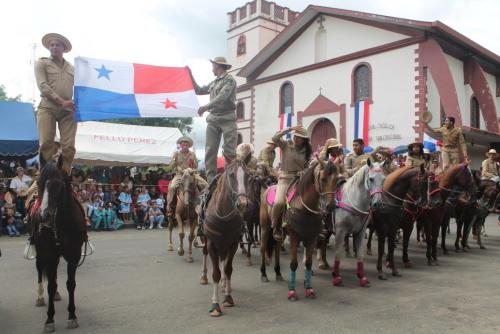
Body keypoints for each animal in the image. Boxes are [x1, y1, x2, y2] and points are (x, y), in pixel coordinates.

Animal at [29, 159, 88, 332]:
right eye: (39, 182)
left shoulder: (74, 254)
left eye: (58, 184)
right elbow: (50, 285)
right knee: (40, 271)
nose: (44, 216)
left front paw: (72, 316)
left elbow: (70, 284)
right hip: (41, 252)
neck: (64, 223)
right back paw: (40, 296)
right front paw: (49, 319)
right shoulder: (48, 253)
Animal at [199, 160, 250, 318]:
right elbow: (215, 273)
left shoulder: (233, 243)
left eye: (248, 176)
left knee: (223, 261)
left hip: (224, 245)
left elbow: (228, 269)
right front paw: (215, 305)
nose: (243, 203)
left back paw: (224, 284)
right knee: (205, 253)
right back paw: (204, 277)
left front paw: (228, 297)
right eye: (232, 175)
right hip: (208, 241)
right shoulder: (212, 244)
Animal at [260, 159, 338, 300]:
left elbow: (308, 263)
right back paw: (263, 274)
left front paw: (309, 289)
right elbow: (293, 264)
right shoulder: (294, 237)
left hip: (279, 234)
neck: (303, 206)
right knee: (263, 248)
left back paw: (278, 273)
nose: (330, 206)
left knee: (277, 249)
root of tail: (268, 189)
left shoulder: (311, 237)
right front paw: (292, 291)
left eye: (336, 180)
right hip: (265, 228)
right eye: (323, 179)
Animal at [332, 159, 386, 288]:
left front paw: (362, 277)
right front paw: (336, 277)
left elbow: (361, 255)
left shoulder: (360, 232)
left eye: (384, 179)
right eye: (371, 179)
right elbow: (337, 253)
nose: (377, 204)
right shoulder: (340, 231)